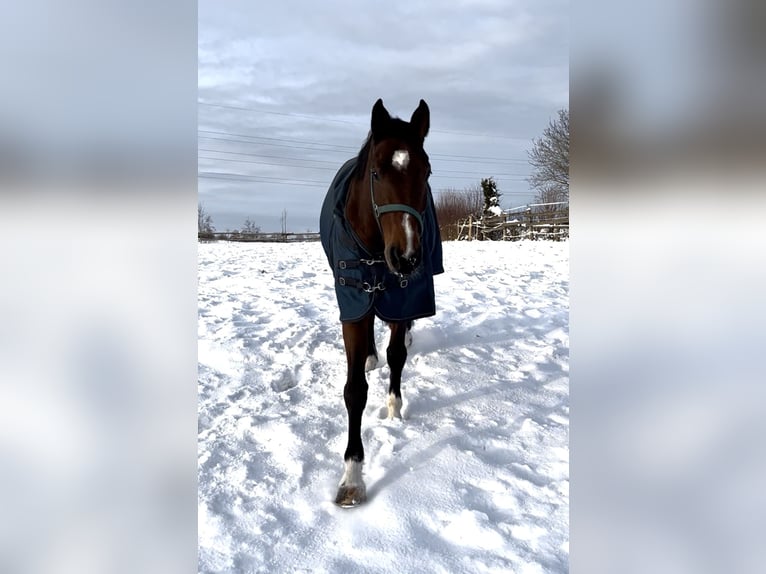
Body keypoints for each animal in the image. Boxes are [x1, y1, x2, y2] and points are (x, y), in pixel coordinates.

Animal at [319, 99, 444, 507]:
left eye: (426, 171)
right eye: (376, 172)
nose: (406, 257)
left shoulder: (403, 297)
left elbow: (398, 356)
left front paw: (394, 407)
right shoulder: (353, 303)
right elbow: (355, 390)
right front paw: (352, 477)